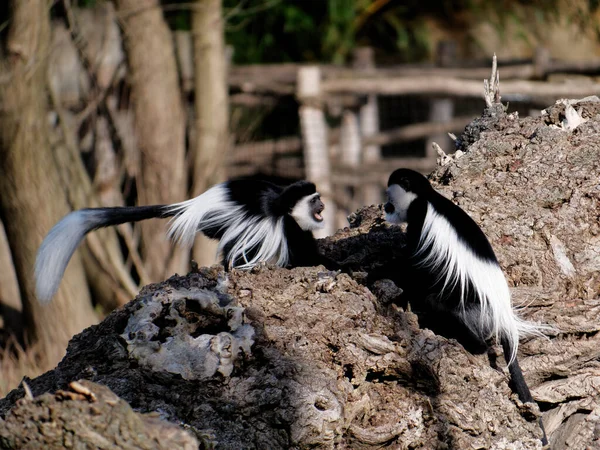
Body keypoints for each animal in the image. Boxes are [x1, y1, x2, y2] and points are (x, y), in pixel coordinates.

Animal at [35, 178, 336, 302]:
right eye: (315, 200)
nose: (323, 203)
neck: (285, 206)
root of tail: (196, 203)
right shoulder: (285, 229)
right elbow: (302, 256)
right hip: (231, 224)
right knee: (236, 250)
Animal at [384, 169, 548, 446]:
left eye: (390, 197)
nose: (385, 207)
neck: (427, 197)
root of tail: (503, 312)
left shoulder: (420, 218)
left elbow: (414, 263)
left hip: (473, 307)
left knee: (444, 308)